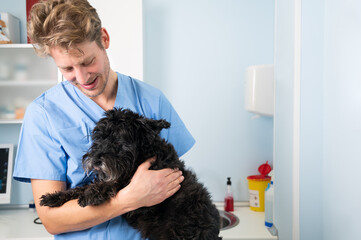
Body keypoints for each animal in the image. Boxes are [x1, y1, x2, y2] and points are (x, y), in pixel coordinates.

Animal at [39, 108, 219, 239]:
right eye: (99, 137)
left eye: (119, 140)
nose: (96, 159)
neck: (142, 156)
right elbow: (79, 188)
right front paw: (54, 197)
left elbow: (117, 182)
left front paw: (92, 193)